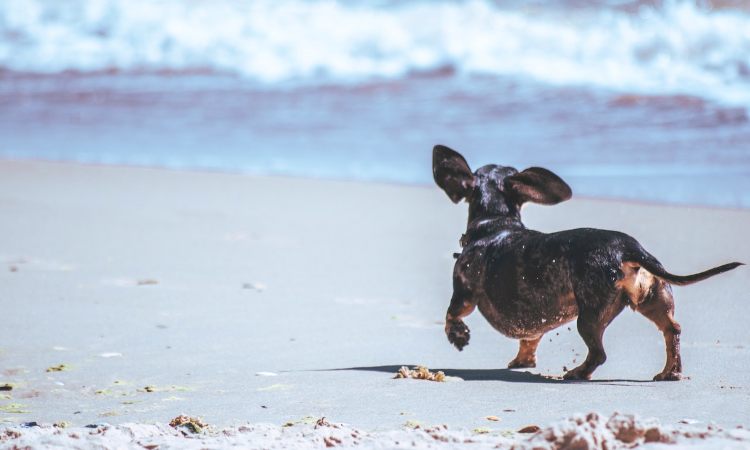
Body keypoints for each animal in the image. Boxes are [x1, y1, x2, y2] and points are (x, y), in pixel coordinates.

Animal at [434, 145, 748, 380]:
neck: (495, 224)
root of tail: (628, 248)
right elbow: (530, 339)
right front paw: (522, 360)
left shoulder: (464, 292)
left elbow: (451, 314)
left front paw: (458, 336)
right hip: (652, 299)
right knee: (673, 330)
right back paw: (670, 372)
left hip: (589, 316)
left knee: (599, 353)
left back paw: (577, 373)